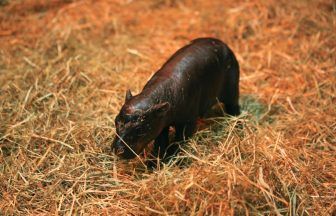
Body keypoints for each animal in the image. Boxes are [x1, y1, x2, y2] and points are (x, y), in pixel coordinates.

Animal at [111, 37, 240, 162]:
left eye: (139, 128)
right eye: (116, 120)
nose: (117, 150)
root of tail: (224, 44)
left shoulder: (188, 122)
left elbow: (178, 141)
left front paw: (170, 159)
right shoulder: (160, 123)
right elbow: (160, 142)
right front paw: (153, 163)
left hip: (232, 91)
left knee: (234, 106)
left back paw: (236, 122)